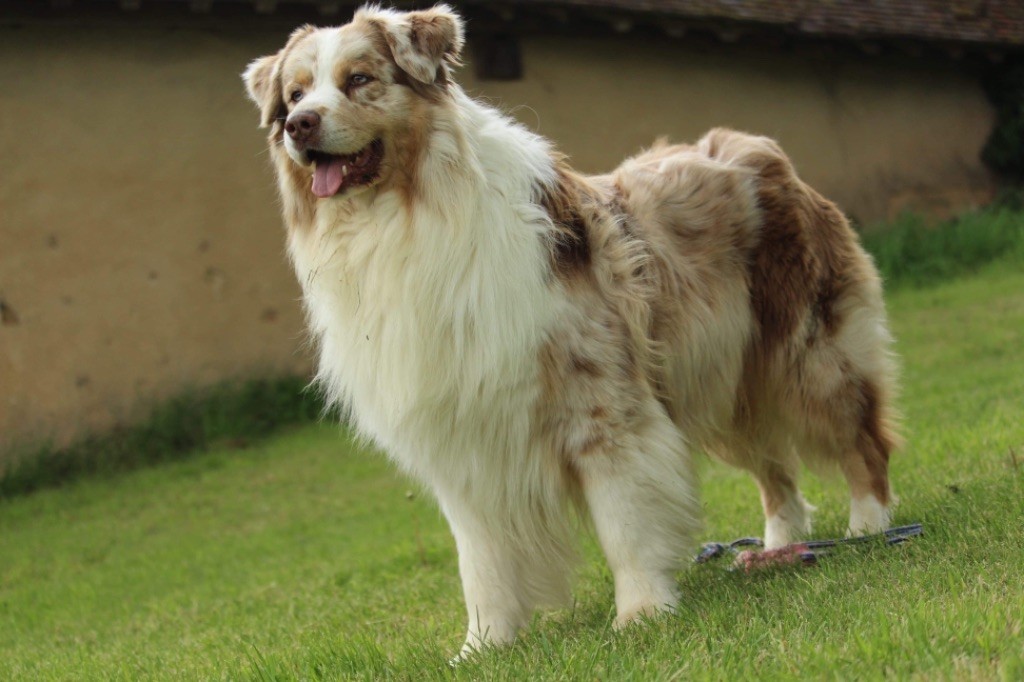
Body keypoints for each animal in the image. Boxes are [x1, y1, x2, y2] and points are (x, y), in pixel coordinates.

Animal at [243, 3, 901, 655]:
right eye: (295, 93)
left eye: (358, 80)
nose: (299, 125)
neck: (401, 215)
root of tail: (755, 149)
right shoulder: (462, 436)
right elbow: (480, 559)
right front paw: (484, 646)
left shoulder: (603, 406)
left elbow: (623, 518)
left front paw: (642, 611)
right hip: (720, 380)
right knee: (776, 467)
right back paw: (780, 547)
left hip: (808, 355)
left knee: (861, 439)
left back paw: (868, 527)